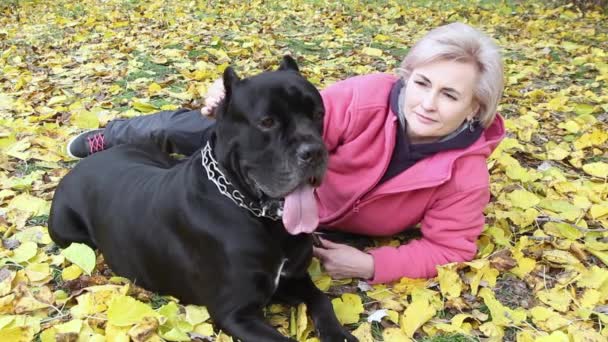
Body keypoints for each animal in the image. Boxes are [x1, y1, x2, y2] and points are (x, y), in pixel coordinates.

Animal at [51, 56, 356, 342]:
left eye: (318, 113)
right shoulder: (235, 312)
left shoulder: (293, 278)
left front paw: (338, 333)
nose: (314, 152)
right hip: (68, 234)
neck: (253, 213)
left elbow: (322, 299)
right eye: (267, 122)